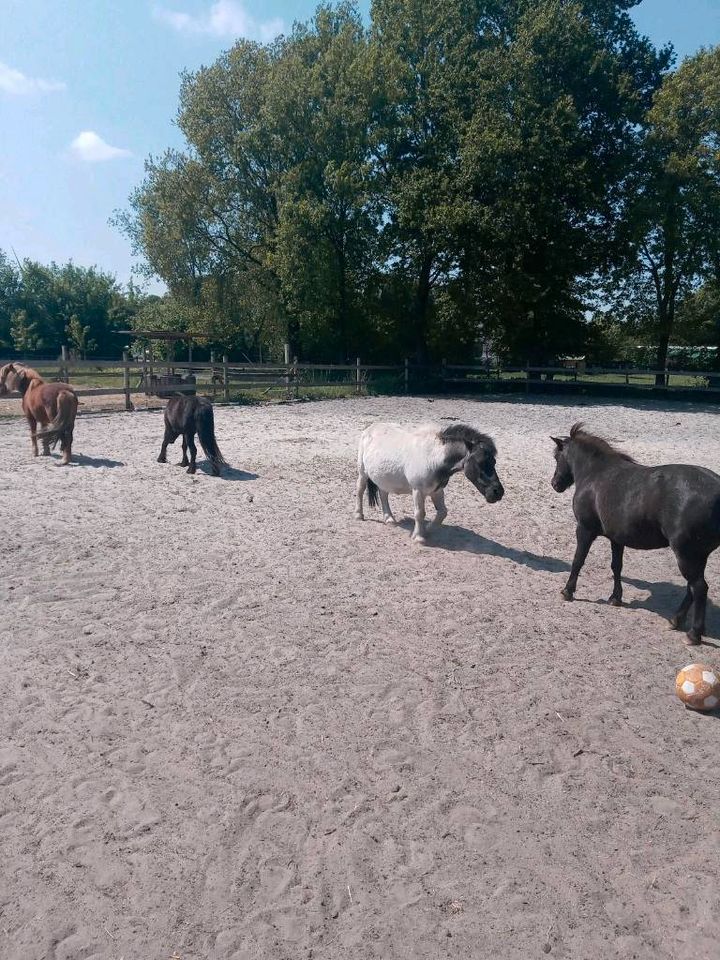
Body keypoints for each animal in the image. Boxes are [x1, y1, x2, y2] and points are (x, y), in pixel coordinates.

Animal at [356, 424, 504, 544]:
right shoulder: (418, 491)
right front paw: (419, 537)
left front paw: (426, 529)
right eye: (480, 462)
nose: (498, 492)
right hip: (363, 472)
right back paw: (359, 515)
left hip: (384, 478)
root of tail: (370, 428)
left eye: (494, 462)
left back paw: (389, 519)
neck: (433, 458)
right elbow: (420, 513)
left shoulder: (437, 491)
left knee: (383, 494)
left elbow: (442, 513)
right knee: (360, 490)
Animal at [552, 422, 720, 640]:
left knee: (699, 588)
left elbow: (578, 560)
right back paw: (676, 620)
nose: (555, 484)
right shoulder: (616, 538)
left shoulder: (585, 529)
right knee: (692, 587)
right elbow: (616, 566)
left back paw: (694, 633)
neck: (595, 474)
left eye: (557, 457)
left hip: (686, 554)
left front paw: (568, 591)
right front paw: (615, 598)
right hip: (698, 555)